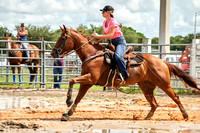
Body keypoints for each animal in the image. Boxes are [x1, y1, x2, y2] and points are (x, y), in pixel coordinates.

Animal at [50, 25, 199, 121]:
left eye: (62, 37)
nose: (53, 53)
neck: (92, 54)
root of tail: (162, 61)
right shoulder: (87, 82)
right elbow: (79, 97)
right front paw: (68, 113)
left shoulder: (90, 78)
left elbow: (71, 81)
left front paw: (68, 101)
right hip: (146, 86)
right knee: (154, 104)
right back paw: (146, 117)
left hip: (164, 84)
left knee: (176, 98)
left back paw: (185, 115)